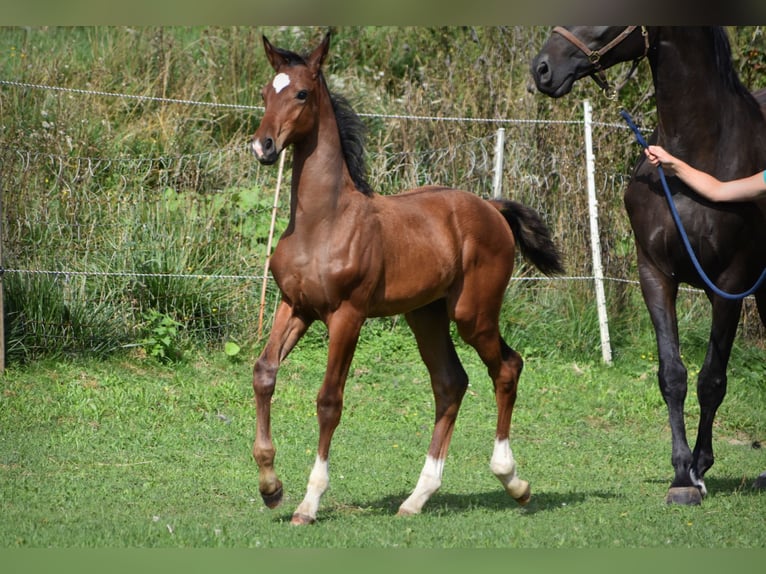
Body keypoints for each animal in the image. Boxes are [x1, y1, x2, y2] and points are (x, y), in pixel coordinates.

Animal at [250, 32, 564, 528]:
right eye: (266, 93)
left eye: (300, 94)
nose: (262, 147)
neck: (323, 221)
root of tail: (492, 208)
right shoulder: (295, 305)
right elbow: (264, 373)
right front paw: (270, 487)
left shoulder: (347, 316)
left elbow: (329, 401)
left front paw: (308, 502)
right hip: (425, 315)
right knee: (451, 383)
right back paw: (418, 497)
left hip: (472, 314)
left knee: (507, 367)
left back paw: (513, 480)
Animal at [536, 28, 766, 504]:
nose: (542, 69)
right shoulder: (655, 275)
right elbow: (672, 374)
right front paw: (682, 474)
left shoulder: (730, 282)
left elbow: (712, 379)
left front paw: (700, 467)